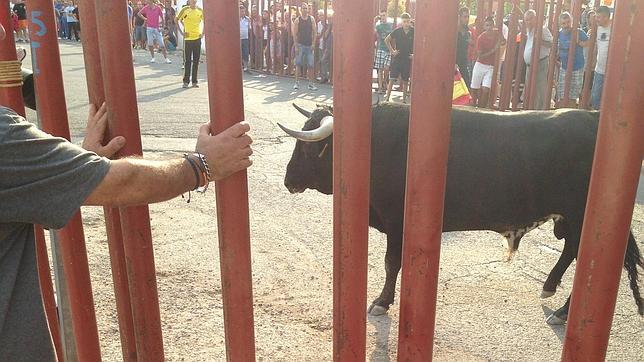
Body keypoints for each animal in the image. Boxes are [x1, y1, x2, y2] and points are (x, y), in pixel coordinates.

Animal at [282, 101, 644, 322]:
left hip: (582, 215)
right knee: (572, 249)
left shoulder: (397, 222)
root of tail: (593, 116)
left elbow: (391, 263)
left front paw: (382, 302)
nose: (288, 181)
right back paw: (550, 287)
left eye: (309, 148)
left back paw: (565, 311)